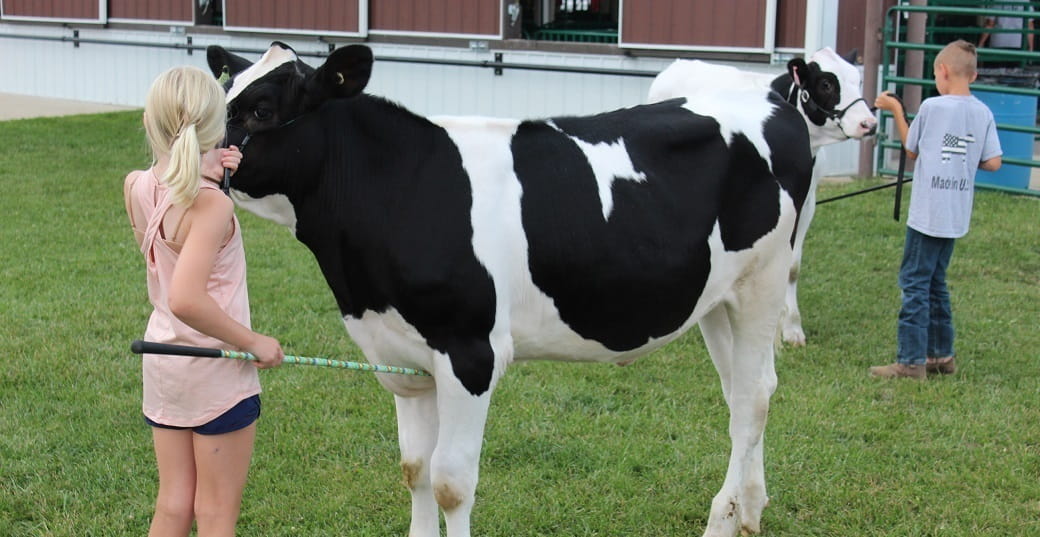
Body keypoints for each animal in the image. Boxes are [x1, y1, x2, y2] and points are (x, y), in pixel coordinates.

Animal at [206, 41, 814, 537]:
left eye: (261, 111)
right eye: (225, 92)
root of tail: (772, 100)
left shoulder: (471, 352)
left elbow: (451, 483)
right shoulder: (402, 357)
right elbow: (414, 469)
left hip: (763, 281)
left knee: (752, 399)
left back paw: (722, 518)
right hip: (716, 297)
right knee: (747, 390)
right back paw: (750, 509)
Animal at [648, 48, 877, 347]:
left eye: (858, 80)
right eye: (826, 84)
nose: (869, 124)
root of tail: (678, 63)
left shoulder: (808, 202)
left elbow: (793, 266)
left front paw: (791, 329)